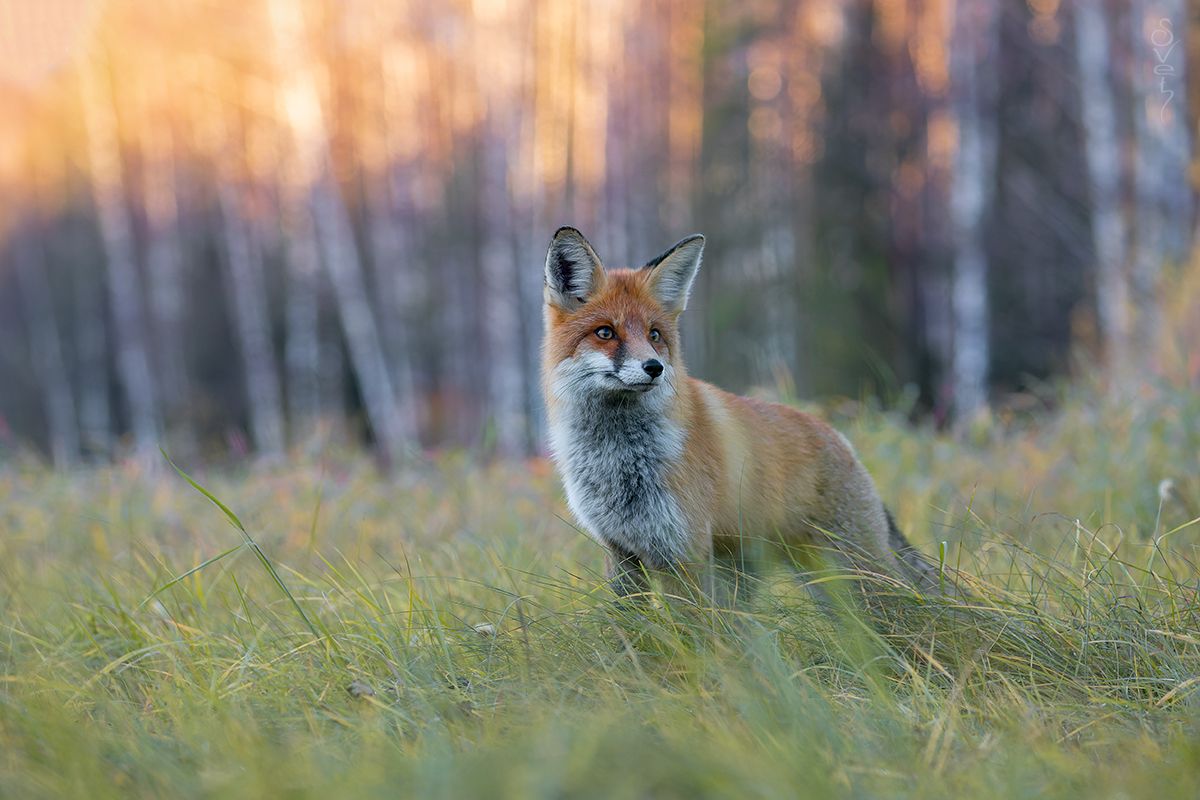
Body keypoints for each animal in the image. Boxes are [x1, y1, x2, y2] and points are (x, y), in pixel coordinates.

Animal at [542, 226, 936, 606]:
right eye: (605, 332)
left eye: (654, 335)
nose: (654, 368)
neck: (617, 459)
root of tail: (841, 439)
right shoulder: (620, 550)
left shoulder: (683, 551)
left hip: (856, 576)